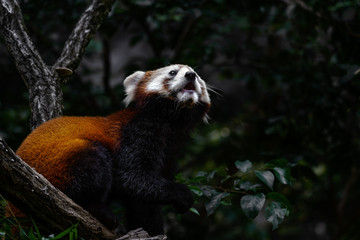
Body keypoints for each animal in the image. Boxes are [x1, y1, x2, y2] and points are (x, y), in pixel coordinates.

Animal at [11, 64, 210, 236]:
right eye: (173, 72)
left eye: (197, 75)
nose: (191, 75)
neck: (171, 123)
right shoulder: (136, 132)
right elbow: (131, 178)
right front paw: (180, 193)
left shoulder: (170, 151)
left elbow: (143, 203)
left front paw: (153, 232)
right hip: (59, 161)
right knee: (93, 163)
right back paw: (99, 211)